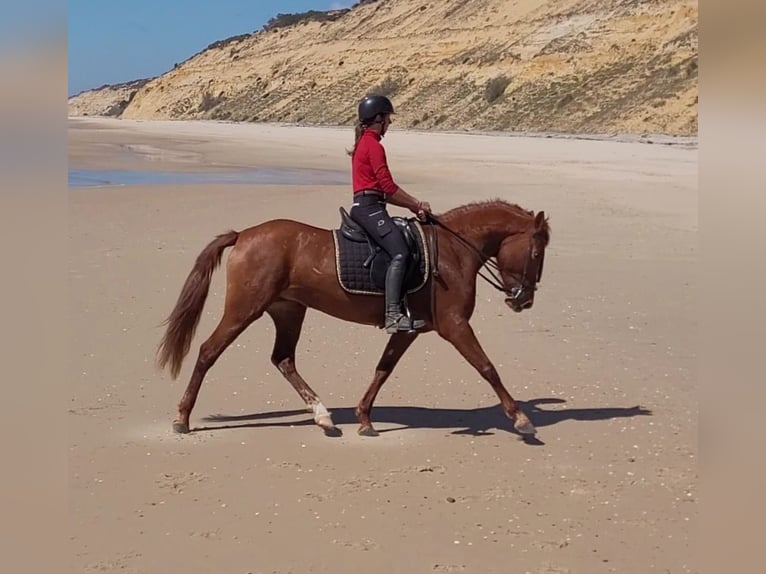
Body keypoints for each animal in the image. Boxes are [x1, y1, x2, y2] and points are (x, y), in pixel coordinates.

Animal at [156, 199, 551, 439]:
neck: (453, 252)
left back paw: (324, 417)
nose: (525, 300)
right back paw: (182, 418)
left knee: (283, 359)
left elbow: (383, 368)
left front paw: (364, 418)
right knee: (208, 351)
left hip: (288, 310)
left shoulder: (409, 329)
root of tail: (243, 235)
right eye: (536, 252)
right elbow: (487, 367)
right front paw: (521, 419)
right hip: (244, 309)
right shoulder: (454, 325)